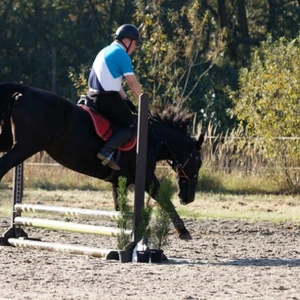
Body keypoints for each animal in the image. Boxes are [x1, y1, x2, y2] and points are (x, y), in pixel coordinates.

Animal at [0, 82, 204, 239]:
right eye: (198, 162)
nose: (188, 198)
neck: (153, 137)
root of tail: (26, 90)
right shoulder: (147, 178)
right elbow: (163, 199)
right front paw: (183, 230)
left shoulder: (119, 181)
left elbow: (119, 210)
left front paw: (124, 237)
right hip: (26, 146)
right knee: (4, 165)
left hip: (15, 143)